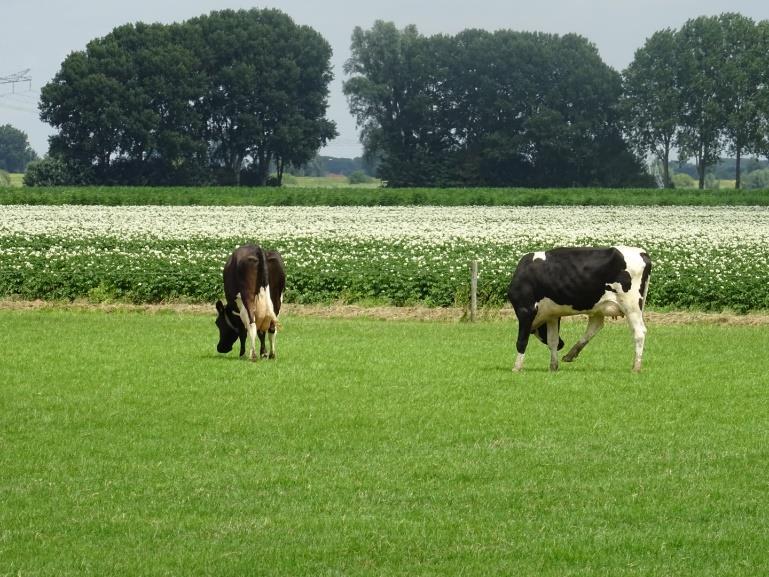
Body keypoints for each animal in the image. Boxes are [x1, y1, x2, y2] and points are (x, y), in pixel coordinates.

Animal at [508, 244, 652, 372]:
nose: (562, 344)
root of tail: (642, 252)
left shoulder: (525, 309)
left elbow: (521, 340)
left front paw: (516, 367)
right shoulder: (552, 315)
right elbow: (552, 340)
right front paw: (553, 366)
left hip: (631, 306)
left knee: (639, 332)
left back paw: (636, 367)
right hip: (602, 307)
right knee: (595, 326)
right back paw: (570, 355)